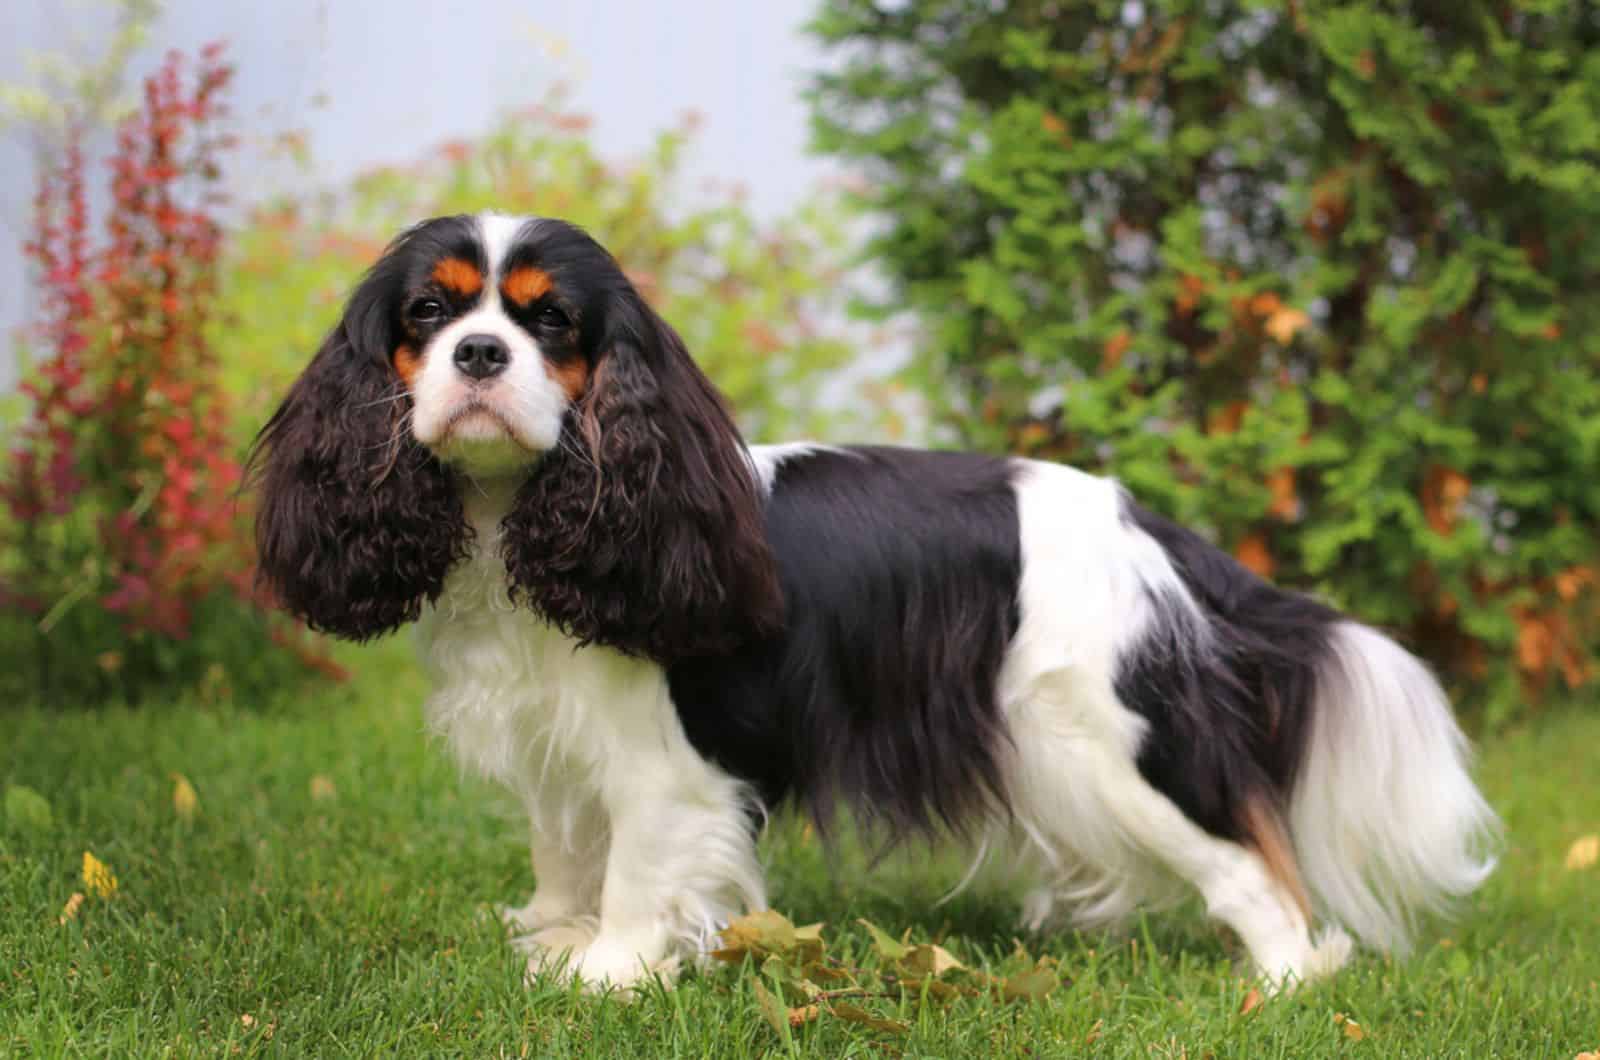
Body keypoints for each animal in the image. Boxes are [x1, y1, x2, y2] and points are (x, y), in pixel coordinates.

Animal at [249, 214, 1497, 999]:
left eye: (549, 324)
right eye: (427, 311)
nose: (477, 353)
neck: (525, 513)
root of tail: (1151, 528)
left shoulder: (667, 761)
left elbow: (640, 863)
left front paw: (609, 971)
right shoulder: (560, 740)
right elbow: (566, 848)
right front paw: (552, 935)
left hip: (1107, 745)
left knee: (1252, 861)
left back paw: (1283, 982)